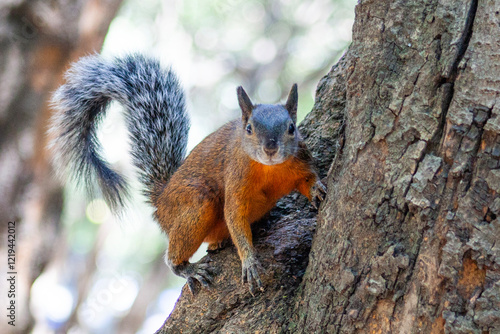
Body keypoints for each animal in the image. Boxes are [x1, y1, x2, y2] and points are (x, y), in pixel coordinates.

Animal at [49, 53, 324, 294]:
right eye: (248, 129)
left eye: (291, 128)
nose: (270, 149)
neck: (269, 169)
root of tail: (161, 200)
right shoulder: (236, 179)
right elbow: (235, 217)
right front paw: (249, 261)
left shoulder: (300, 161)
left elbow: (307, 178)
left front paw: (317, 190)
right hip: (194, 204)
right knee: (178, 249)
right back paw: (186, 268)